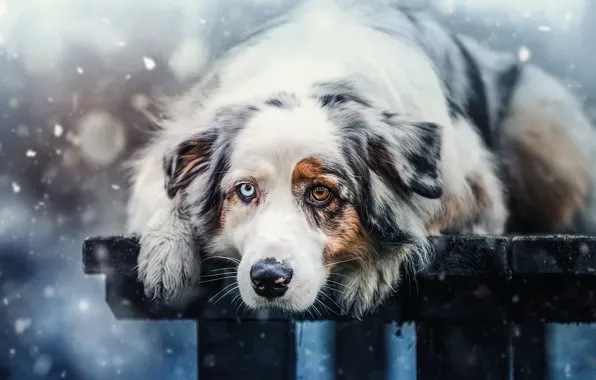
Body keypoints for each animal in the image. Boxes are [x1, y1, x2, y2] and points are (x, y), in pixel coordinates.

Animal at [124, 0, 596, 318]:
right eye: (244, 191)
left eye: (321, 194)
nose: (268, 279)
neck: (308, 72)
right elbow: (168, 196)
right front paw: (166, 256)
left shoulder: (472, 184)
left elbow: (413, 214)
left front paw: (372, 267)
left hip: (543, 122)